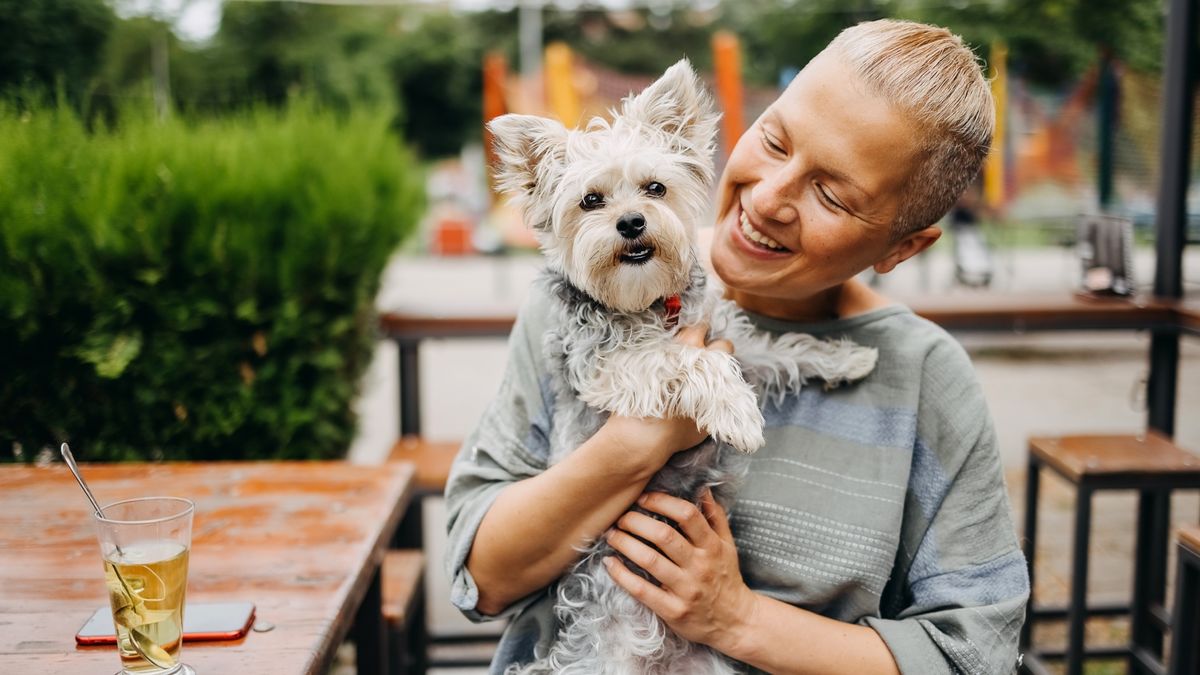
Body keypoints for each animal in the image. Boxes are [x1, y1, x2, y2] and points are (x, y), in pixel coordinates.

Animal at [492, 60, 878, 667]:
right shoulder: (611, 369)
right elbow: (687, 360)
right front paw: (739, 415)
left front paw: (846, 357)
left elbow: (779, 349)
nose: (631, 222)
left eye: (655, 188)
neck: (652, 302)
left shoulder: (730, 340)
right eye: (591, 200)